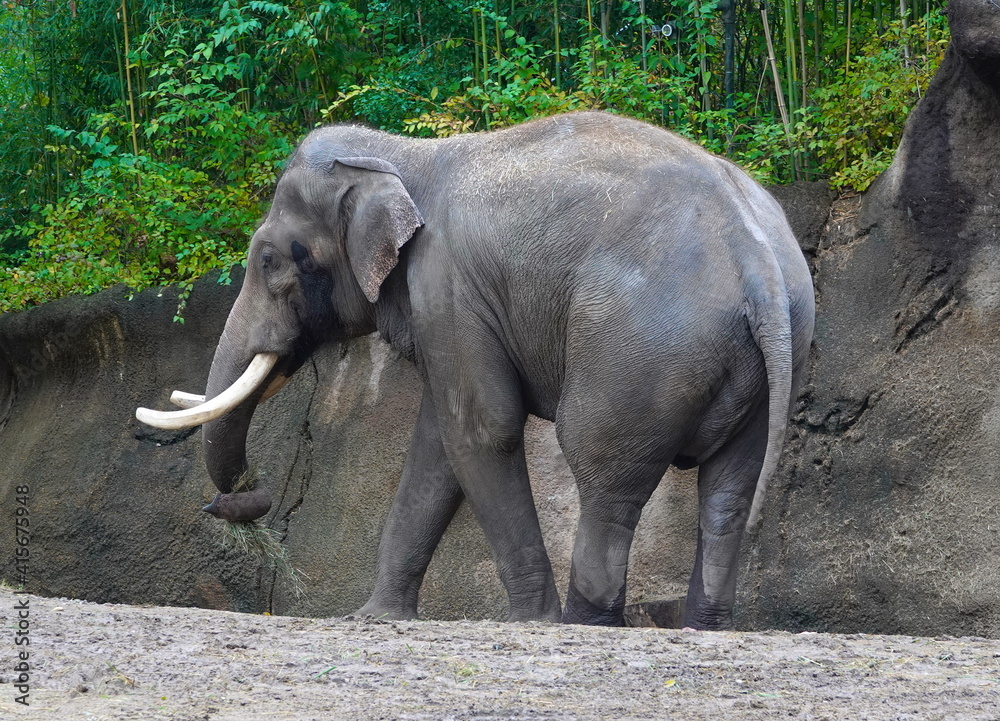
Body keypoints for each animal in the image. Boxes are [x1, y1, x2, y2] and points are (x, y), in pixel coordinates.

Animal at [137, 110, 815, 630]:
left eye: (271, 260)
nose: (237, 499)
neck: (403, 155)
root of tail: (758, 262)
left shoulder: (447, 283)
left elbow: (482, 430)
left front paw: (532, 622)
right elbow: (438, 444)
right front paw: (374, 619)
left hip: (643, 350)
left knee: (603, 471)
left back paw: (584, 624)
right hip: (759, 363)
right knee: (731, 487)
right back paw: (704, 626)